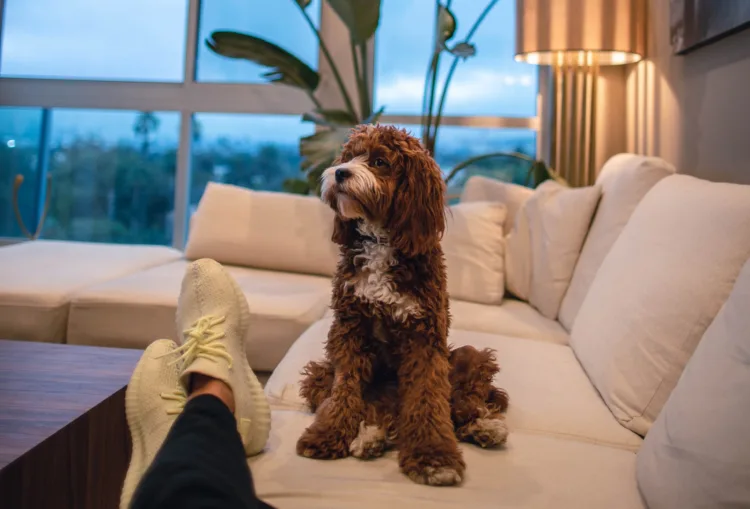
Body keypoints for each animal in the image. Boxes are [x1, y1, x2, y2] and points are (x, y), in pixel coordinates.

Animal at [296, 125, 508, 486]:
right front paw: (327, 434)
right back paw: (371, 436)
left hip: (469, 357)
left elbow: (428, 399)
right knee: (379, 408)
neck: (382, 239)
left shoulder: (425, 337)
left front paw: (434, 458)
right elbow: (344, 391)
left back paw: (485, 427)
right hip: (320, 372)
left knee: (462, 405)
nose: (339, 172)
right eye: (349, 156)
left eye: (380, 161)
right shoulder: (349, 330)